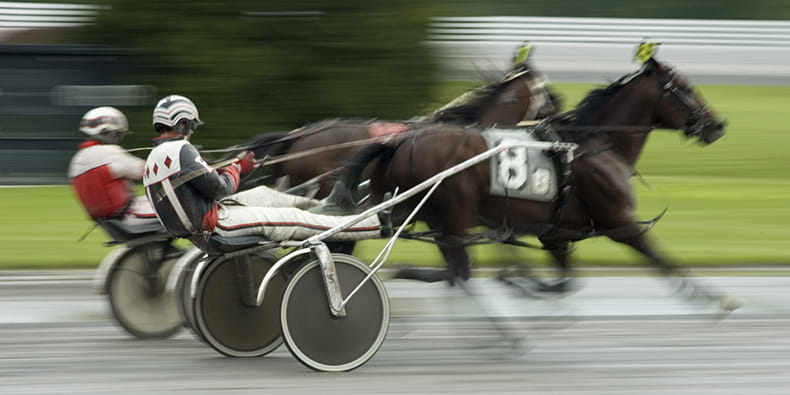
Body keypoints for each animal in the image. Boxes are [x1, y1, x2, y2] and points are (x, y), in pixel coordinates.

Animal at [332, 56, 744, 312]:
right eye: (685, 87)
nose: (718, 125)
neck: (597, 144)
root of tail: (399, 142)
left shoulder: (557, 234)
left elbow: (564, 282)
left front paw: (527, 287)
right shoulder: (620, 224)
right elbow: (663, 260)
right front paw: (714, 299)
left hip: (423, 212)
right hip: (448, 213)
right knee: (452, 265)